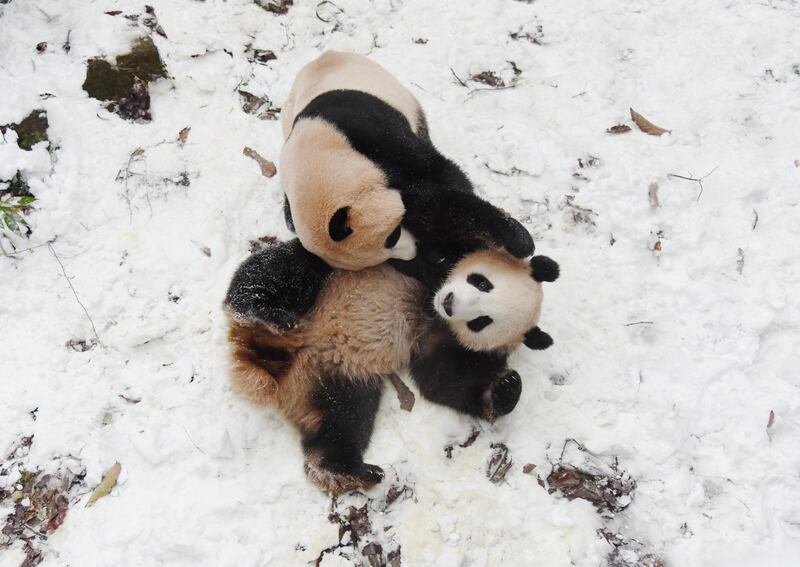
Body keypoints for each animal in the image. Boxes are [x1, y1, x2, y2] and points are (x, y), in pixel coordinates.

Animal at [220, 237, 556, 494]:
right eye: (482, 282)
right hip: (323, 285)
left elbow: (444, 380)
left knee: (342, 422)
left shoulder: (442, 340)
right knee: (282, 269)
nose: (449, 302)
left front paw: (505, 388)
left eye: (481, 322)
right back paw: (261, 312)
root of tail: (280, 363)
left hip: (337, 378)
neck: (429, 306)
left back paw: (347, 470)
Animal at [278, 50, 536, 278]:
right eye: (385, 253)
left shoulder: (372, 138)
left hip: (402, 97)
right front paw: (436, 263)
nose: (413, 251)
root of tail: (326, 55)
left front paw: (517, 241)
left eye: (392, 235)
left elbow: (438, 192)